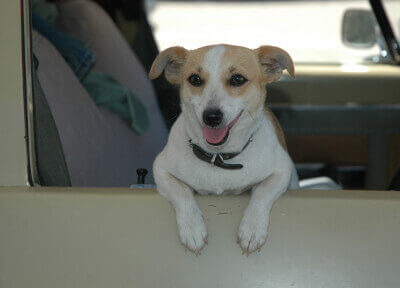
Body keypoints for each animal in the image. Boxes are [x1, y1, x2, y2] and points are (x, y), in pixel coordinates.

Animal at [149, 44, 296, 255]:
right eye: (195, 79)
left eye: (237, 79)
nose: (211, 116)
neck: (218, 157)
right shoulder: (160, 169)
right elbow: (181, 191)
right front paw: (192, 228)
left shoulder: (282, 171)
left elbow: (262, 193)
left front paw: (252, 228)